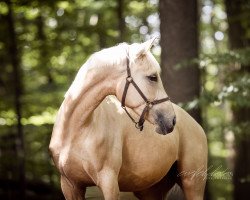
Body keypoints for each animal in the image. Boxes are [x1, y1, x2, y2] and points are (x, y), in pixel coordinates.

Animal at [49, 38, 207, 200]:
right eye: (152, 77)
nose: (172, 120)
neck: (77, 130)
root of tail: (196, 125)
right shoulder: (70, 185)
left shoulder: (109, 183)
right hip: (152, 191)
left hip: (192, 184)